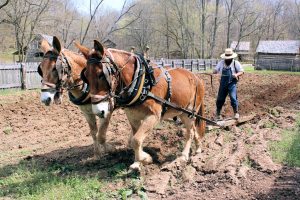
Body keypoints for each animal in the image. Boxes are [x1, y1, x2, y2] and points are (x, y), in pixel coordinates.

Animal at [75, 40, 206, 170]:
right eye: (86, 76)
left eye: (101, 74)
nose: (98, 111)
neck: (141, 82)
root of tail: (196, 77)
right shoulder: (132, 116)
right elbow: (135, 139)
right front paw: (138, 161)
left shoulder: (154, 116)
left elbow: (136, 140)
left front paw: (144, 159)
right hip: (183, 113)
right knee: (194, 130)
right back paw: (198, 147)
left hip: (189, 113)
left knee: (190, 132)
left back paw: (183, 156)